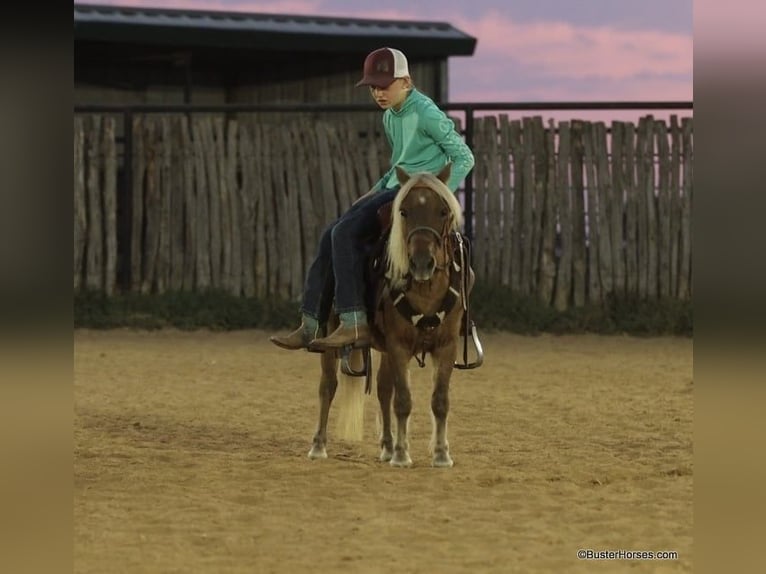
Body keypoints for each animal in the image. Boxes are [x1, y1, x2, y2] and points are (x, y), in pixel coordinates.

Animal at [308, 164, 480, 470]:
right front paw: (402, 454)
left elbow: (439, 400)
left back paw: (387, 446)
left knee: (382, 389)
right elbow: (403, 400)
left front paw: (441, 454)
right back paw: (319, 445)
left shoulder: (445, 346)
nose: (422, 262)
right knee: (328, 386)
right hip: (332, 337)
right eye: (404, 211)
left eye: (443, 211)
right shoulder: (399, 345)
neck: (425, 289)